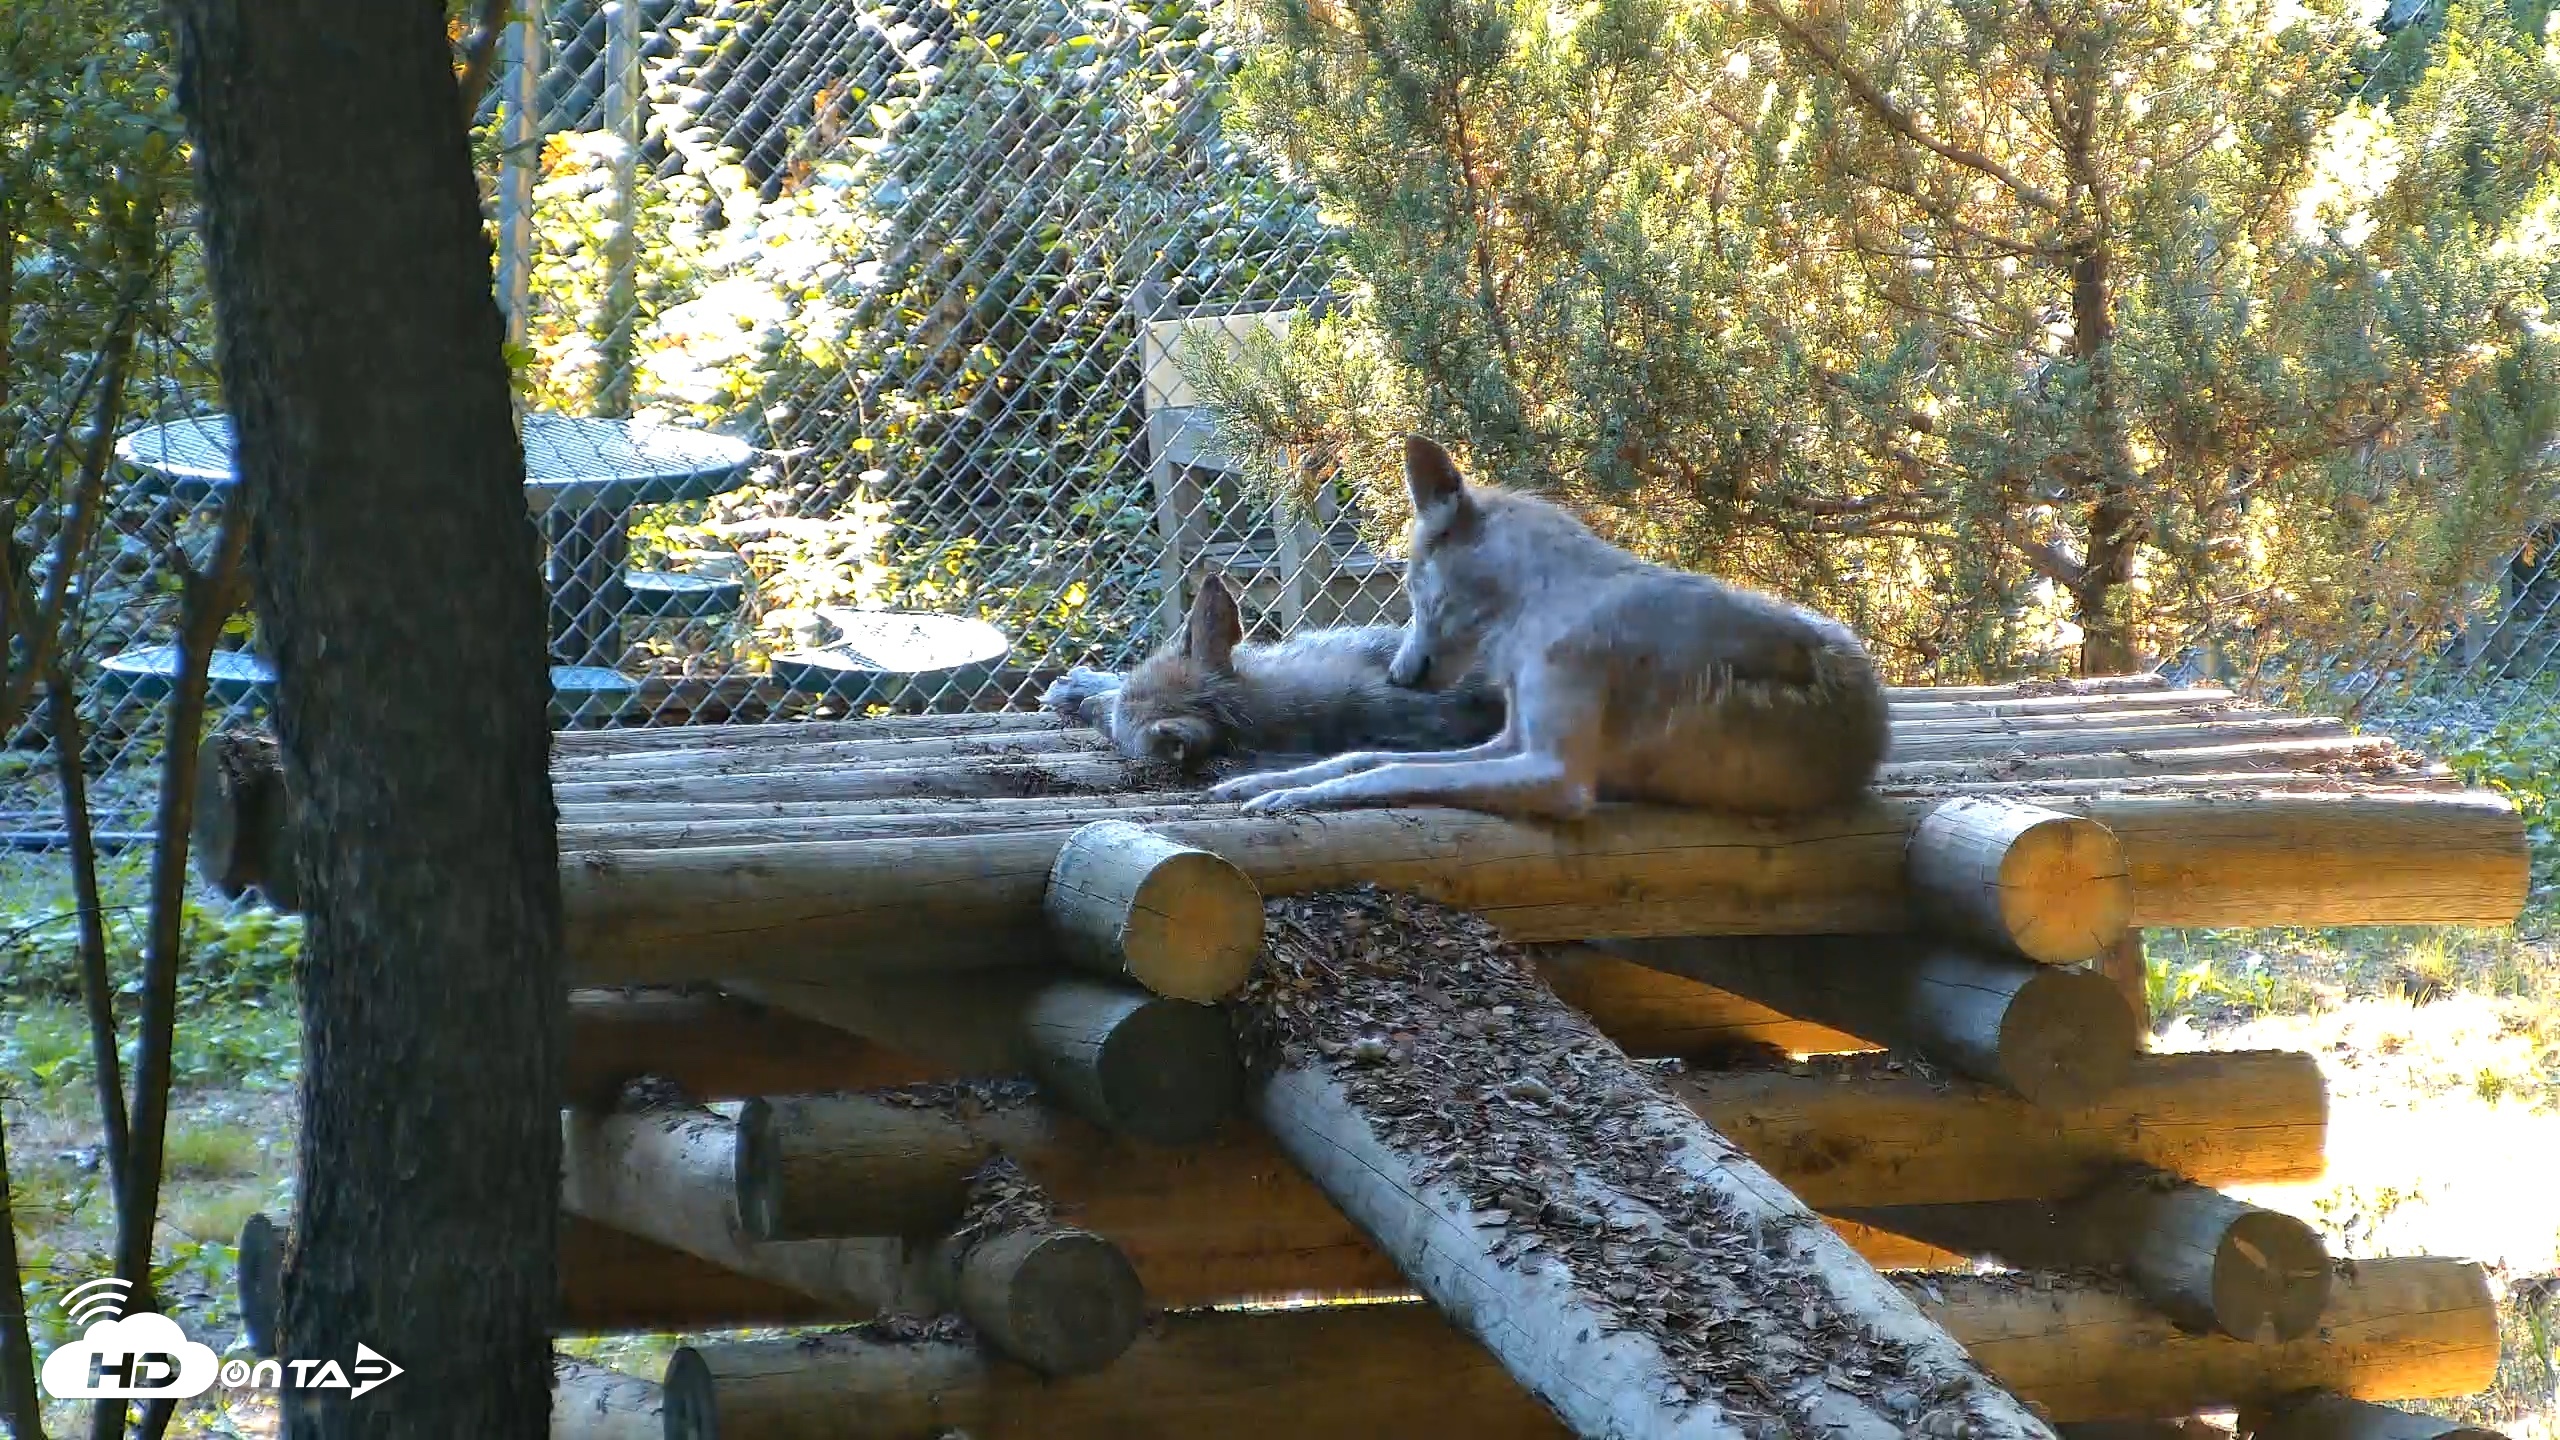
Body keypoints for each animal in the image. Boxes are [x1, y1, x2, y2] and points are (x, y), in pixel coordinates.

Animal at [1207, 436, 1892, 820]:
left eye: (1414, 588)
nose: (1398, 679)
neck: (1536, 608)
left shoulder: (1556, 774)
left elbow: (1393, 773)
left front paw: (1289, 798)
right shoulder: (1510, 742)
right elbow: (1362, 755)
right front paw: (1263, 782)